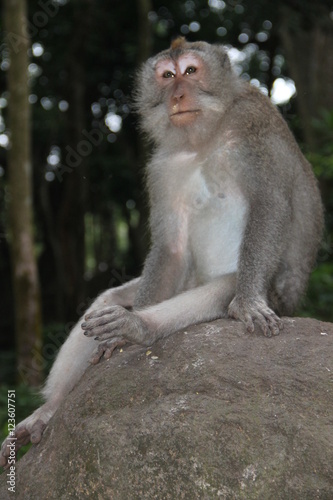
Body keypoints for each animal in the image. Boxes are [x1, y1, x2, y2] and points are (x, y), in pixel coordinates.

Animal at [0, 37, 322, 466]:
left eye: (191, 71)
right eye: (167, 76)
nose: (178, 94)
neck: (204, 138)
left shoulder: (253, 126)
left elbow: (269, 204)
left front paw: (249, 302)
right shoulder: (162, 166)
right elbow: (170, 247)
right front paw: (113, 344)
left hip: (276, 295)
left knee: (223, 288)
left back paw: (139, 325)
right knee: (109, 299)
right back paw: (52, 406)